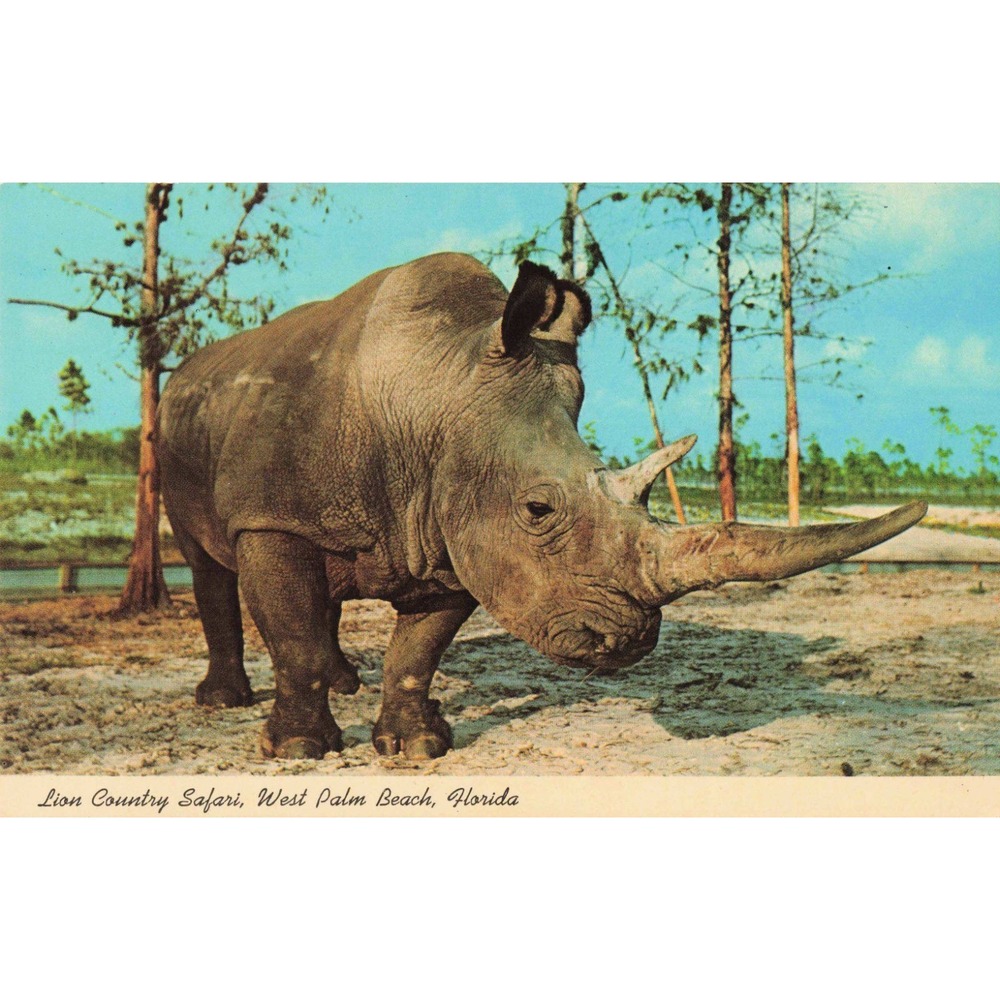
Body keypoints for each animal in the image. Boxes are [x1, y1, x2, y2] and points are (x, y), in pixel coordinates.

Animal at [158, 253, 926, 760]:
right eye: (537, 509)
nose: (627, 642)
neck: (435, 395)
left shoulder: (450, 529)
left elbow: (417, 650)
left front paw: (416, 749)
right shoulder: (272, 517)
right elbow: (291, 635)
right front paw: (297, 751)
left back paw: (347, 684)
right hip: (175, 426)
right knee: (207, 564)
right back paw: (225, 702)